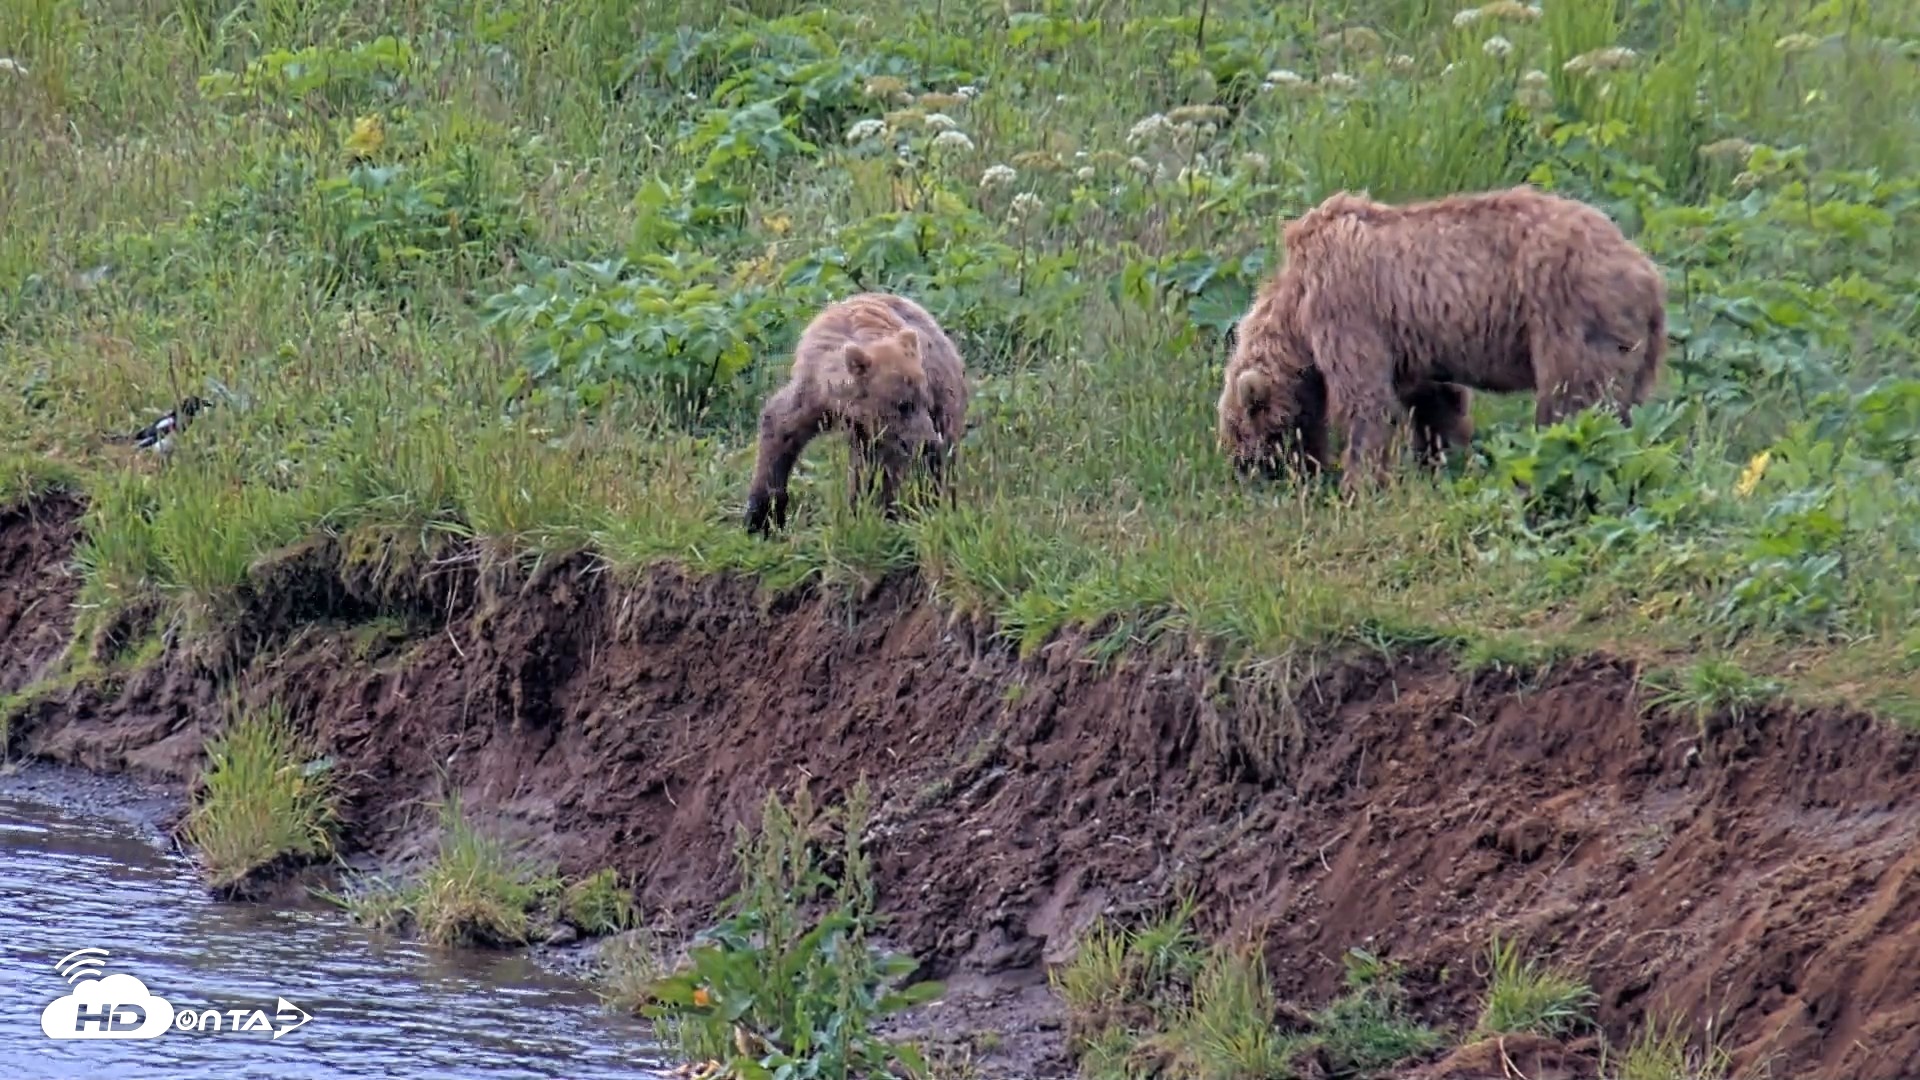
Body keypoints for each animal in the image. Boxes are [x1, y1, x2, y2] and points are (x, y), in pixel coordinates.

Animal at [745, 292, 969, 535]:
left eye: (924, 401)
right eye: (903, 404)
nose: (928, 442)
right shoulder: (814, 393)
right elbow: (780, 427)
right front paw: (762, 517)